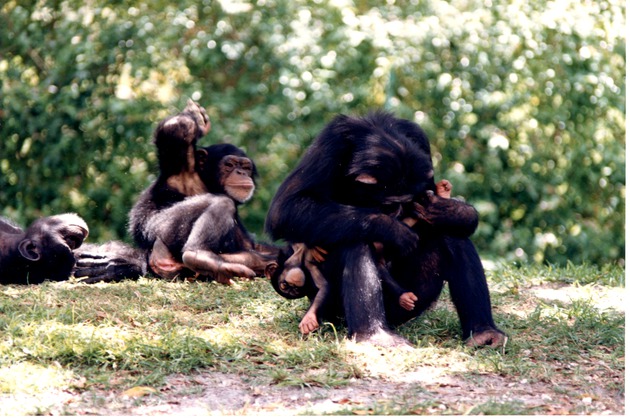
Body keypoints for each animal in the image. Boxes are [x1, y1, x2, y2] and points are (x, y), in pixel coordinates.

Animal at [266, 110, 508, 348]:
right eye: (389, 205)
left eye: (407, 201)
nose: (396, 213)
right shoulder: (330, 143)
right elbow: (288, 208)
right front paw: (393, 230)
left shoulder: (421, 143)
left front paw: (446, 210)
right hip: (337, 311)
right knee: (355, 240)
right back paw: (374, 334)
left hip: (414, 301)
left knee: (451, 234)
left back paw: (483, 332)